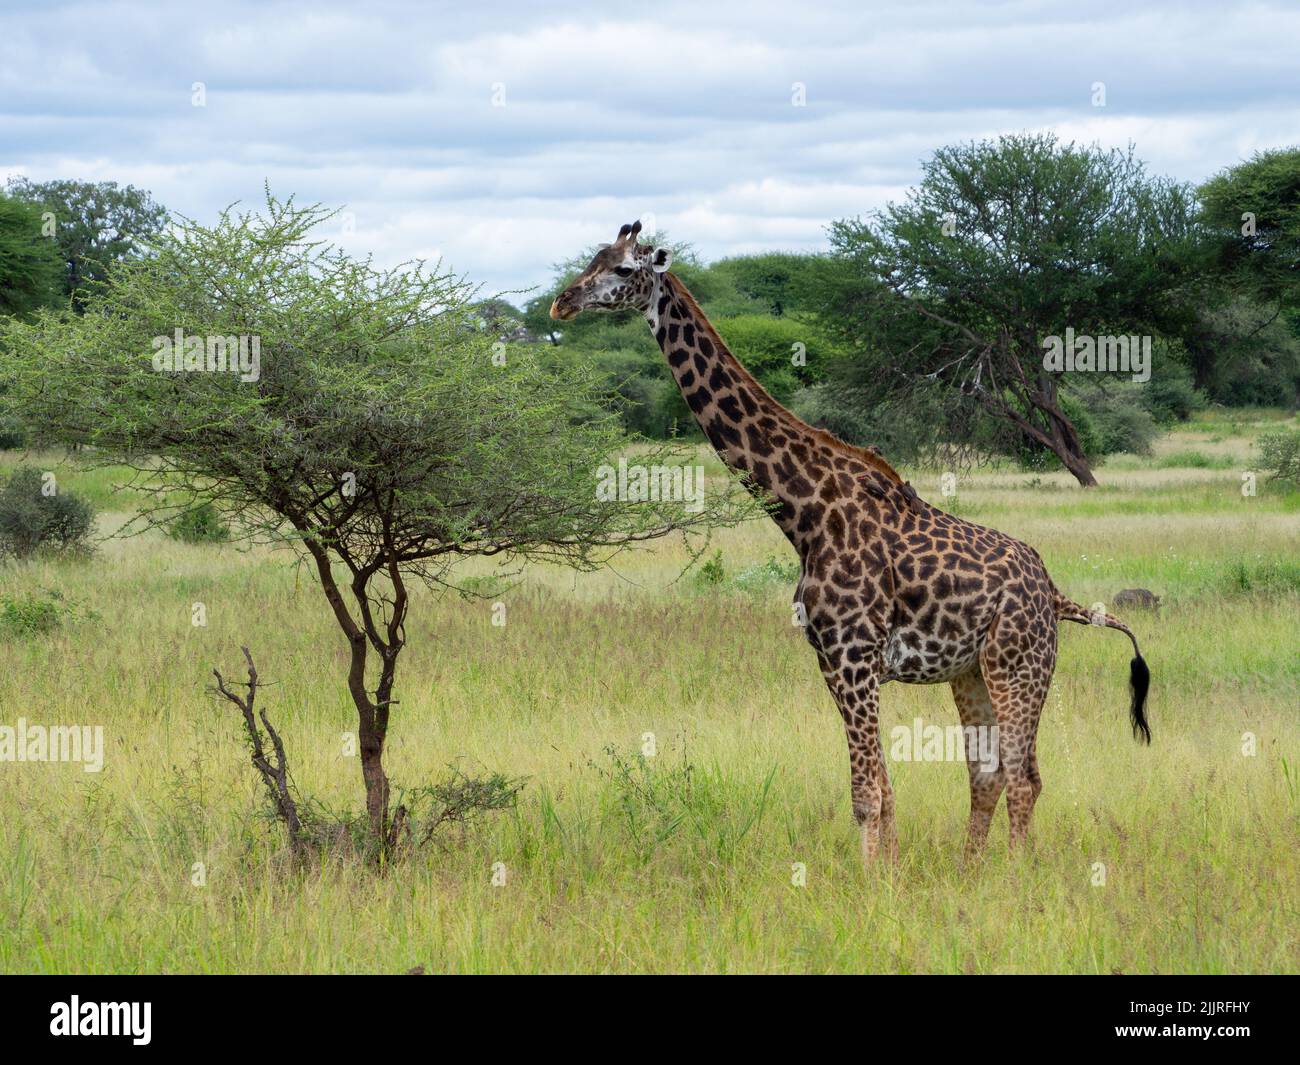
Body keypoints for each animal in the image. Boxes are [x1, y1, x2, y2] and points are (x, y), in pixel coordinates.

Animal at [548, 224, 1149, 868]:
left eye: (622, 268)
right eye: (592, 257)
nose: (561, 303)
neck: (803, 514)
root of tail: (1054, 592)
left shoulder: (853, 656)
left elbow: (866, 794)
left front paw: (869, 883)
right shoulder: (832, 662)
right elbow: (884, 789)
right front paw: (889, 873)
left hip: (1020, 664)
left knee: (1023, 777)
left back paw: (1012, 876)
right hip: (972, 671)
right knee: (986, 774)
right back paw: (972, 872)